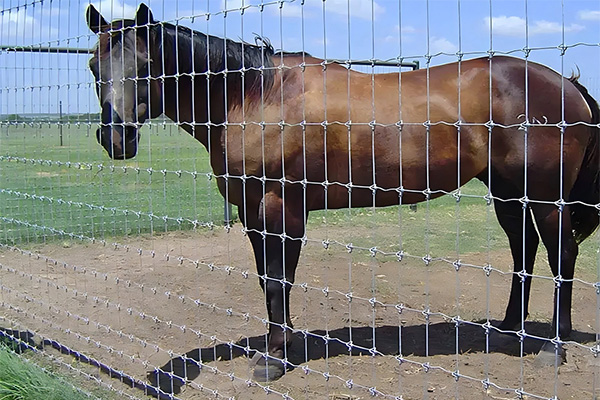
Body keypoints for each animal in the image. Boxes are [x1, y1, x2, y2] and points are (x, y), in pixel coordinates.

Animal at [86, 3, 596, 382]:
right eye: (95, 65)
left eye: (147, 66)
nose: (115, 137)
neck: (254, 95)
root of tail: (567, 86)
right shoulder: (251, 209)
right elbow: (268, 279)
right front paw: (284, 341)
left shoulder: (282, 206)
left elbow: (279, 278)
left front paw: (274, 357)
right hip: (508, 192)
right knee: (522, 248)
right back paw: (509, 328)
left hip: (545, 197)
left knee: (561, 254)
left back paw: (554, 346)